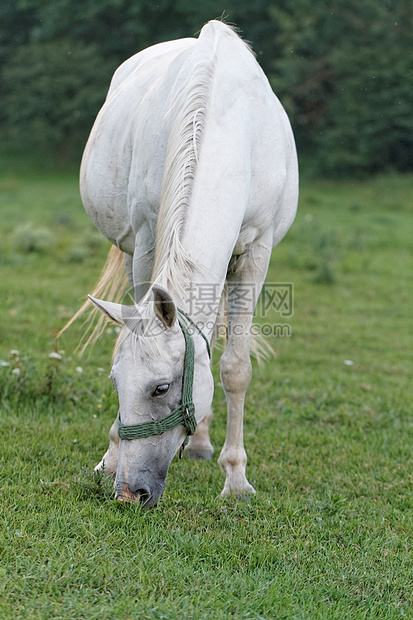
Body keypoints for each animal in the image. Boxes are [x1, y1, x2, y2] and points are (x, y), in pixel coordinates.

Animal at [76, 20, 296, 508]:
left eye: (161, 388)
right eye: (115, 383)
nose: (130, 493)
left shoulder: (256, 252)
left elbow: (234, 368)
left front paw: (236, 479)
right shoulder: (145, 244)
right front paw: (111, 454)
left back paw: (200, 444)